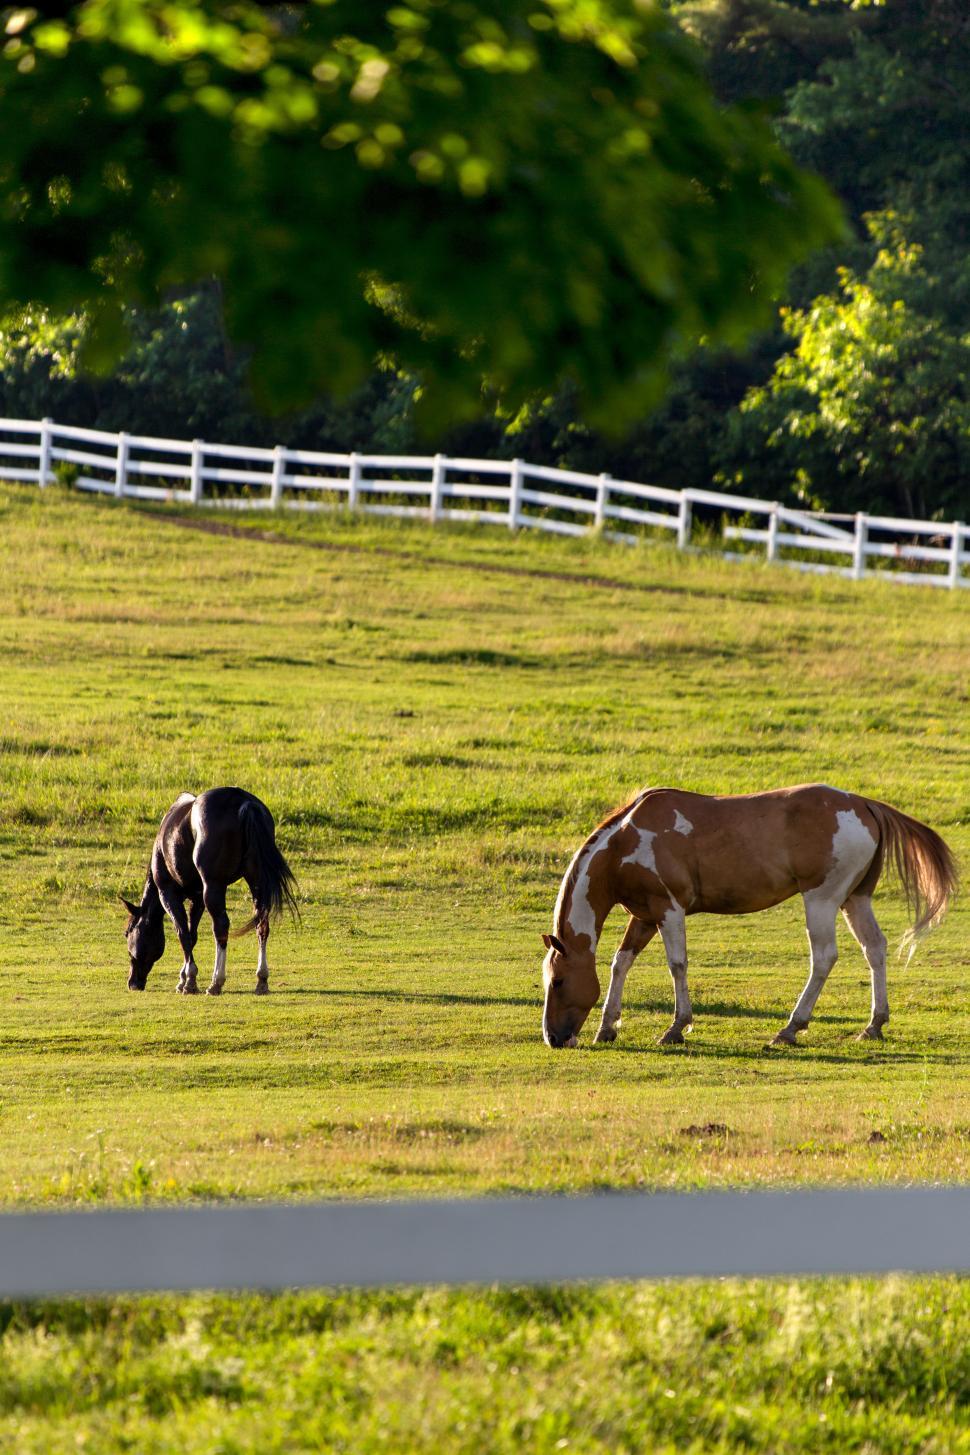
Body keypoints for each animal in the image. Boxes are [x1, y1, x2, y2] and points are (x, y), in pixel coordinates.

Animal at [121, 787, 298, 995]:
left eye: (128, 933)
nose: (133, 983)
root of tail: (243, 801)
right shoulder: (197, 899)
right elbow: (193, 935)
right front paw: (184, 978)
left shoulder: (168, 894)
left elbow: (183, 933)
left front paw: (188, 981)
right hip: (256, 881)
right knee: (262, 924)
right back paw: (261, 979)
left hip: (213, 887)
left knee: (221, 927)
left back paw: (216, 982)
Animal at [541, 783, 957, 1049]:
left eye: (558, 981)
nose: (553, 1038)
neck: (625, 841)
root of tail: (863, 803)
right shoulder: (644, 915)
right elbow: (620, 962)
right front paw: (607, 1026)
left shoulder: (669, 910)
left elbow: (677, 964)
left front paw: (677, 1027)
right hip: (855, 899)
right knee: (875, 949)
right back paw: (873, 1024)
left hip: (821, 900)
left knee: (824, 957)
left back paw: (790, 1028)